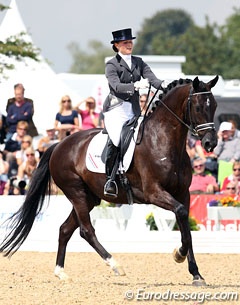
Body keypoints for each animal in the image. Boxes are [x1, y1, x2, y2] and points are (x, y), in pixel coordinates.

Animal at [0, 75, 218, 284]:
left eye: (214, 105)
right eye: (198, 107)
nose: (211, 143)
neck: (163, 141)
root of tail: (59, 145)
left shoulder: (183, 194)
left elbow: (186, 229)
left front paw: (196, 274)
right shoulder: (154, 192)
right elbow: (181, 216)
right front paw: (178, 255)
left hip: (89, 197)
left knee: (65, 229)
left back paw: (61, 272)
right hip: (76, 192)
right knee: (86, 230)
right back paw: (115, 265)